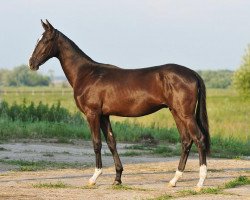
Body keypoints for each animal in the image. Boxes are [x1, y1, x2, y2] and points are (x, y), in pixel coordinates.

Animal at [28, 20, 210, 191]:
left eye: (46, 40)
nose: (31, 63)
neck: (87, 73)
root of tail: (193, 74)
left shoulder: (92, 114)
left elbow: (96, 143)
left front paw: (94, 178)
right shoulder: (104, 115)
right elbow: (111, 142)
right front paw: (117, 178)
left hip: (186, 115)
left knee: (199, 139)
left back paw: (200, 182)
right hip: (176, 112)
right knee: (186, 141)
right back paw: (174, 180)